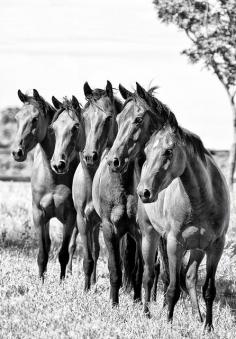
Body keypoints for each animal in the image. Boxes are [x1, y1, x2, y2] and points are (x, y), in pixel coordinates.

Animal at [13, 89, 83, 278]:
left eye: (35, 119)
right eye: (16, 117)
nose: (17, 152)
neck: (53, 177)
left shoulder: (70, 216)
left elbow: (63, 253)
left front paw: (61, 282)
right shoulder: (39, 215)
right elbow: (43, 253)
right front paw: (40, 281)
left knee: (74, 245)